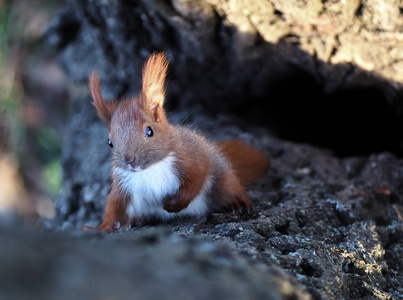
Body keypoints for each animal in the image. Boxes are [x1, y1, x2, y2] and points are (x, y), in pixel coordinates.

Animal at [87, 53, 270, 232]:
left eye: (149, 131)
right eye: (110, 142)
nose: (129, 160)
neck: (150, 169)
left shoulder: (192, 158)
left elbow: (196, 181)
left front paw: (173, 205)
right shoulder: (124, 185)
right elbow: (115, 208)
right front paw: (98, 228)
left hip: (221, 180)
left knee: (230, 188)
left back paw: (237, 202)